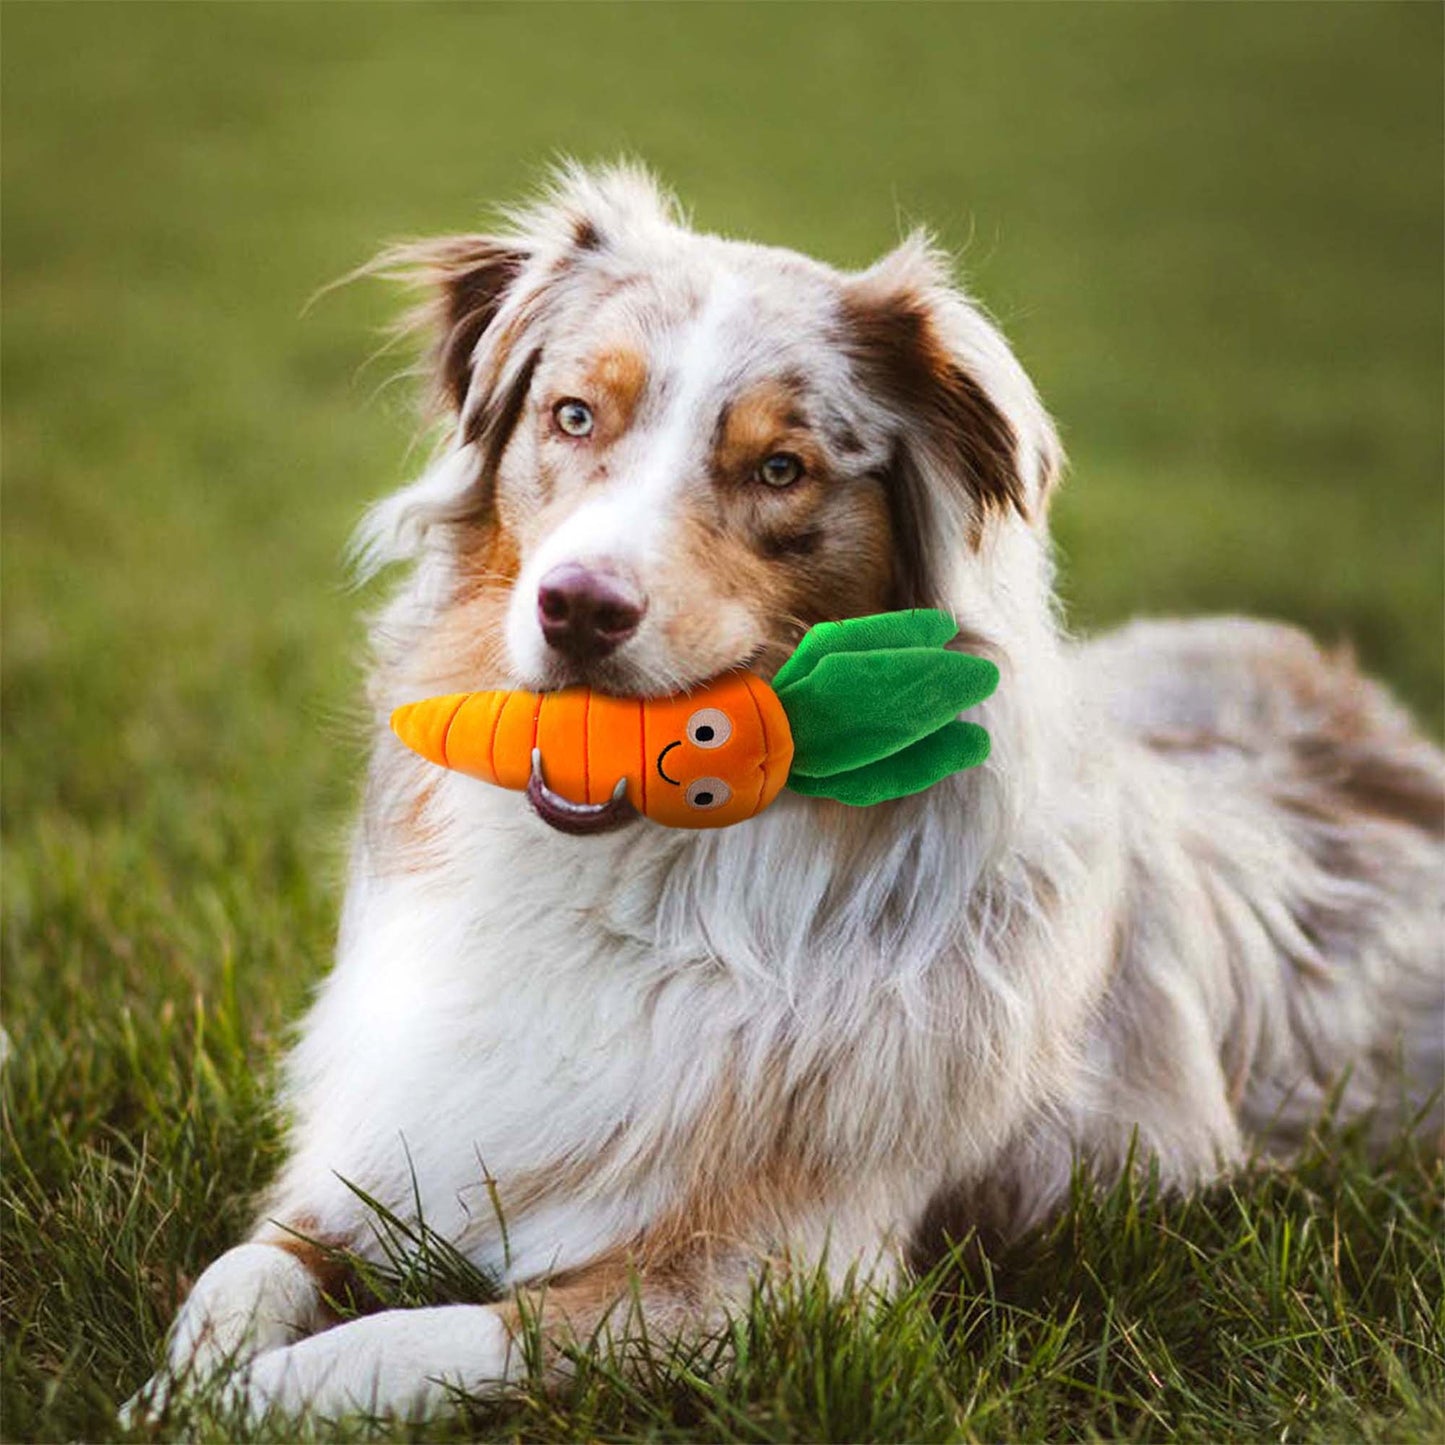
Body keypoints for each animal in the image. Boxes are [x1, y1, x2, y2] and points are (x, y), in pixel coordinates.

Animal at [124, 166, 1445, 1421]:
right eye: (571, 414)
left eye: (778, 468)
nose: (578, 607)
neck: (642, 891)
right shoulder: (389, 1151)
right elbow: (246, 1266)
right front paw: (175, 1377)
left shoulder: (771, 1281)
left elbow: (431, 1332)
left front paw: (242, 1400)